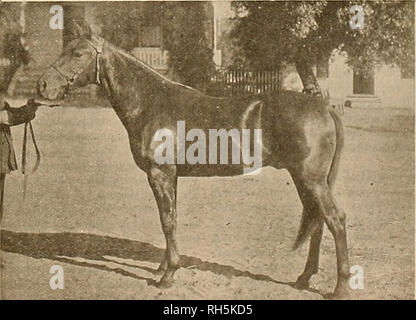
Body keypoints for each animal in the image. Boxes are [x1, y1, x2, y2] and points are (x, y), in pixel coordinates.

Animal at [38, 23, 352, 298]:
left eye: (78, 53)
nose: (43, 85)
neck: (152, 102)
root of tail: (323, 106)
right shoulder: (170, 176)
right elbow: (171, 218)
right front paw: (163, 267)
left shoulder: (159, 173)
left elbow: (167, 221)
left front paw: (167, 276)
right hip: (304, 179)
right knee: (318, 222)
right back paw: (304, 278)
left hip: (311, 179)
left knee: (335, 219)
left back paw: (341, 288)